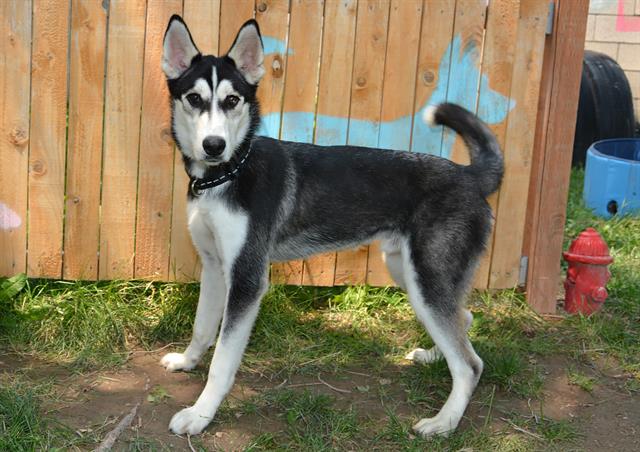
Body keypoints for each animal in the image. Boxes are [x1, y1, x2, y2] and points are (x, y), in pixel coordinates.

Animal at [158, 16, 502, 438]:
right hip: (409, 272)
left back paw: (444, 422)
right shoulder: (212, 265)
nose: (213, 145)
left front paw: (200, 414)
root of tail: (470, 176)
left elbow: (223, 360)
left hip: (426, 279)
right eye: (194, 99)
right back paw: (435, 355)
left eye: (232, 100)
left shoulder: (247, 279)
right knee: (462, 321)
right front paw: (188, 361)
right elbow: (202, 327)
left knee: (470, 364)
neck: (228, 173)